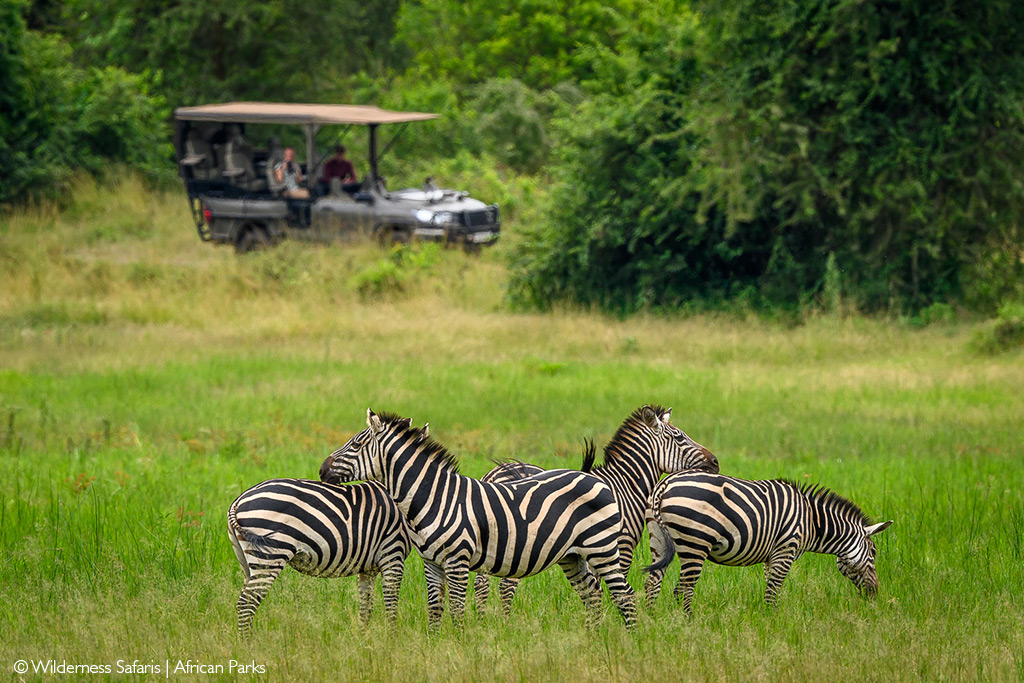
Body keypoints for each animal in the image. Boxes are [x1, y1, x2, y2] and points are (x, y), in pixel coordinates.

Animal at [228, 479, 411, 634]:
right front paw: (391, 643)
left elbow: (366, 608)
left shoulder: (368, 568)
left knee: (244, 602)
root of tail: (238, 501)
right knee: (246, 605)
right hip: (270, 555)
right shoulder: (393, 552)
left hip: (246, 560)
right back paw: (248, 646)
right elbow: (391, 605)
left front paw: (364, 642)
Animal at [321, 411, 638, 630]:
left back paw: (630, 641)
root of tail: (593, 478)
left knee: (625, 595)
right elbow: (435, 608)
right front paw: (433, 646)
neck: (434, 497)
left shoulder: (458, 560)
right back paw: (592, 638)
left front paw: (462, 647)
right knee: (593, 593)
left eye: (356, 444)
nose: (322, 469)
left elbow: (458, 609)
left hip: (602, 548)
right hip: (572, 556)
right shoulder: (431, 562)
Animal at [473, 405, 720, 614]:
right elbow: (612, 587)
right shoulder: (621, 544)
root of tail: (495, 474)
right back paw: (505, 622)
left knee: (481, 584)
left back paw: (484, 622)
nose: (716, 462)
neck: (625, 484)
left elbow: (595, 586)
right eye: (679, 437)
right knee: (505, 586)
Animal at [643, 471, 892, 614]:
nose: (874, 594)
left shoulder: (772, 555)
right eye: (874, 553)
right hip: (695, 543)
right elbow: (774, 588)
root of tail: (665, 483)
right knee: (683, 589)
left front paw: (769, 619)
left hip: (658, 539)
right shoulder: (786, 549)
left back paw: (652, 620)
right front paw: (773, 621)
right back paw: (690, 623)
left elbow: (769, 585)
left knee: (652, 583)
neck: (812, 521)